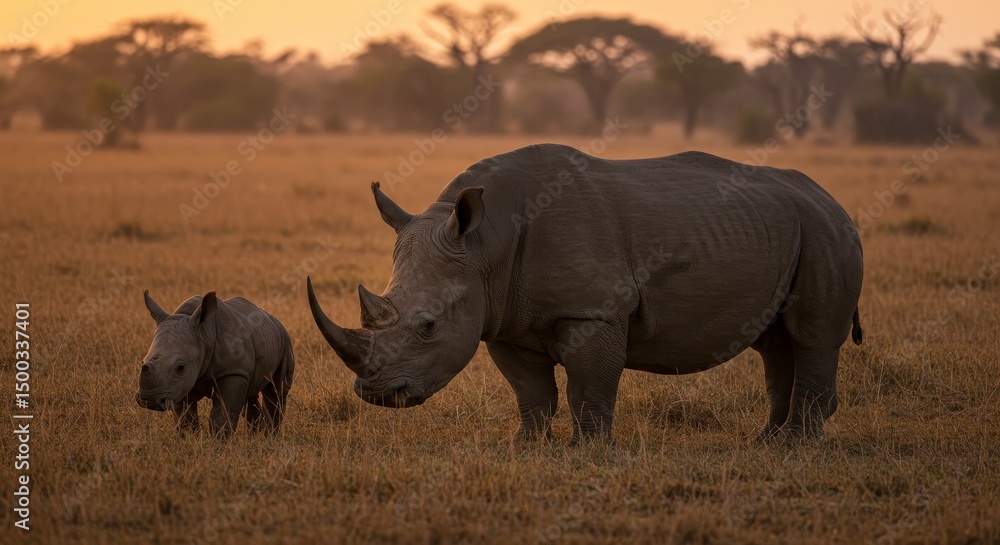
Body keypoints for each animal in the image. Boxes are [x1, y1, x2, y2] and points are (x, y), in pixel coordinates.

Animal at [136, 290, 294, 439]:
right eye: (143, 362)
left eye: (181, 367)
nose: (148, 400)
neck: (204, 334)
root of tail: (274, 318)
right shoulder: (179, 384)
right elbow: (185, 416)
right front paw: (189, 440)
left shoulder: (233, 371)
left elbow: (222, 415)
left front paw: (219, 443)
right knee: (253, 391)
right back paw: (254, 437)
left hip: (285, 339)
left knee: (277, 390)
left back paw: (270, 437)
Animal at [307, 144, 863, 441]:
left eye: (428, 326)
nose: (378, 395)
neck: (485, 243)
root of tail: (829, 196)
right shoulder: (503, 318)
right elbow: (530, 391)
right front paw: (525, 447)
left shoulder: (592, 309)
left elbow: (590, 385)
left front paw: (590, 449)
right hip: (792, 228)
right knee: (776, 342)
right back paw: (767, 440)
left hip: (824, 230)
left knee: (811, 336)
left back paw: (794, 445)